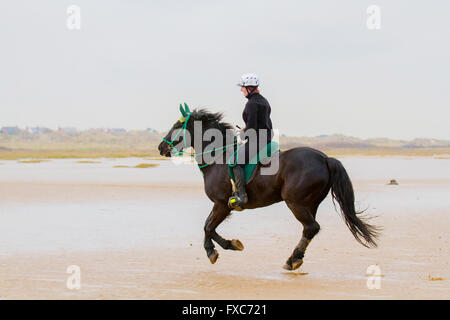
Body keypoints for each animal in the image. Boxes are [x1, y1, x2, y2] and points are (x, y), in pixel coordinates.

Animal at [158, 105, 380, 270]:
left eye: (176, 125)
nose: (161, 147)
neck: (218, 157)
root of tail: (325, 158)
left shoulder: (221, 204)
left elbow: (208, 227)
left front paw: (220, 249)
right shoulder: (221, 205)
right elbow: (207, 226)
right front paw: (225, 246)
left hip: (296, 203)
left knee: (311, 228)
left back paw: (292, 260)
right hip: (310, 204)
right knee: (309, 230)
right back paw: (294, 259)